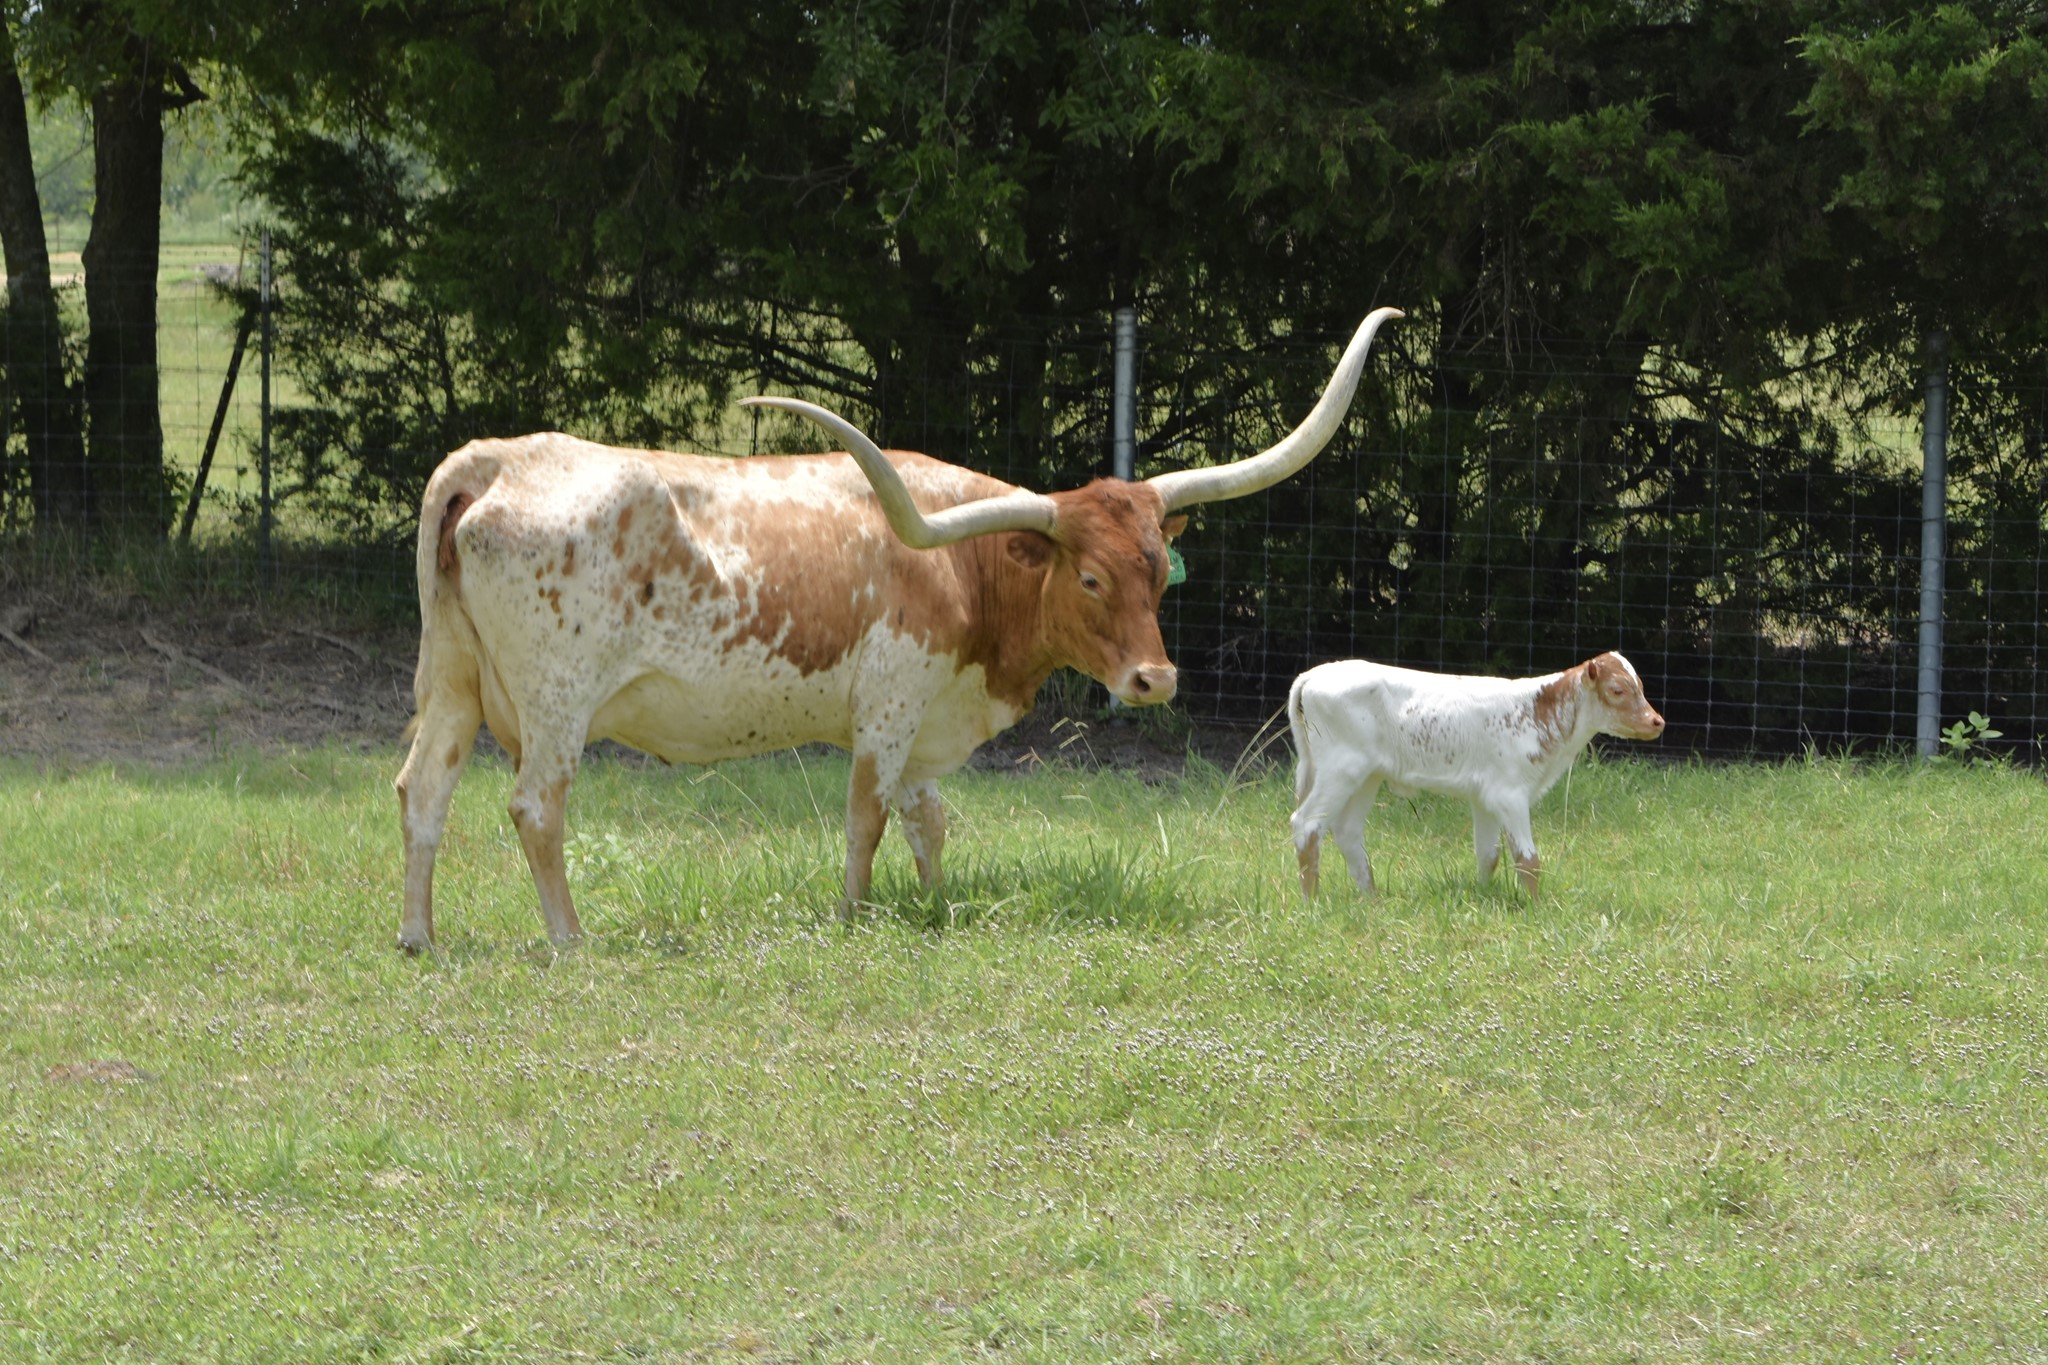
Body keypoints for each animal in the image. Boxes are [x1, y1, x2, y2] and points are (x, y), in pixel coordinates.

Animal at [395, 307, 1402, 948]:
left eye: (1157, 569)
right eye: (1089, 576)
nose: (1155, 680)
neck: (964, 561)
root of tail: (496, 461)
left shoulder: (928, 726)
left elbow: (930, 820)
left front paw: (938, 906)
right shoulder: (888, 707)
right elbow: (867, 816)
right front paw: (853, 916)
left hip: (452, 682)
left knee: (422, 789)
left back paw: (418, 935)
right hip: (556, 701)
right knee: (535, 806)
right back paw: (570, 937)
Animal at [1287, 651, 1664, 902]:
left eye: (1641, 686)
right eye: (1617, 690)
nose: (1656, 721)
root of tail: (1316, 674)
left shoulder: (1485, 796)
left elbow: (1489, 854)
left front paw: (1482, 896)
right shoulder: (1511, 794)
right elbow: (1528, 859)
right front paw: (1537, 907)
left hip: (1367, 775)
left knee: (1347, 830)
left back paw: (1372, 898)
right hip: (1341, 768)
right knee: (1307, 823)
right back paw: (1311, 901)